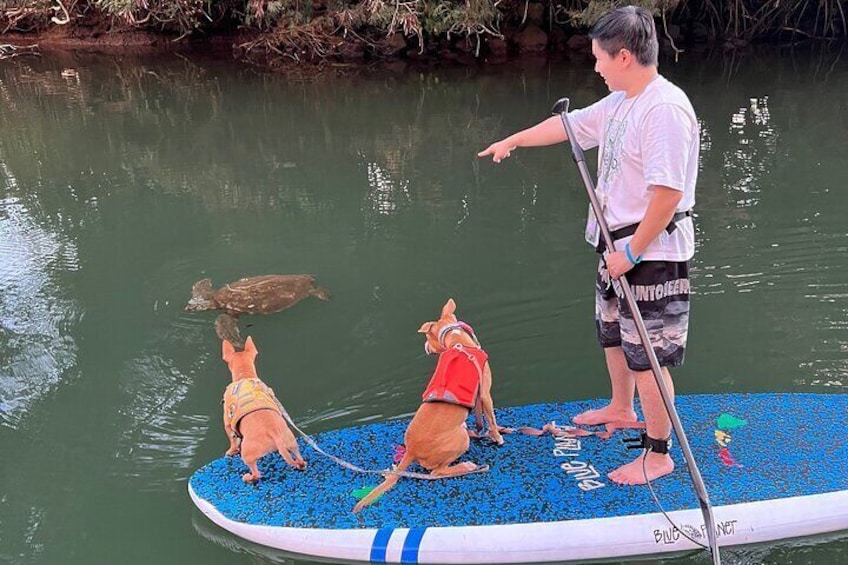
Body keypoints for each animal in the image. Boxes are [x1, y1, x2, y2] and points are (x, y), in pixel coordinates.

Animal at [222, 334, 308, 480]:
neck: (245, 375)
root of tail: (275, 435)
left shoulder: (228, 423)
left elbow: (232, 440)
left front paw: (231, 451)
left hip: (247, 454)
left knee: (256, 473)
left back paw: (248, 477)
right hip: (292, 443)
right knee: (299, 459)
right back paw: (301, 464)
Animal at [352, 300, 504, 512]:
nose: (425, 346)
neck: (456, 341)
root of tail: (412, 451)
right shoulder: (485, 395)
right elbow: (491, 420)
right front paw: (497, 437)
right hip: (460, 441)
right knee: (436, 473)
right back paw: (465, 466)